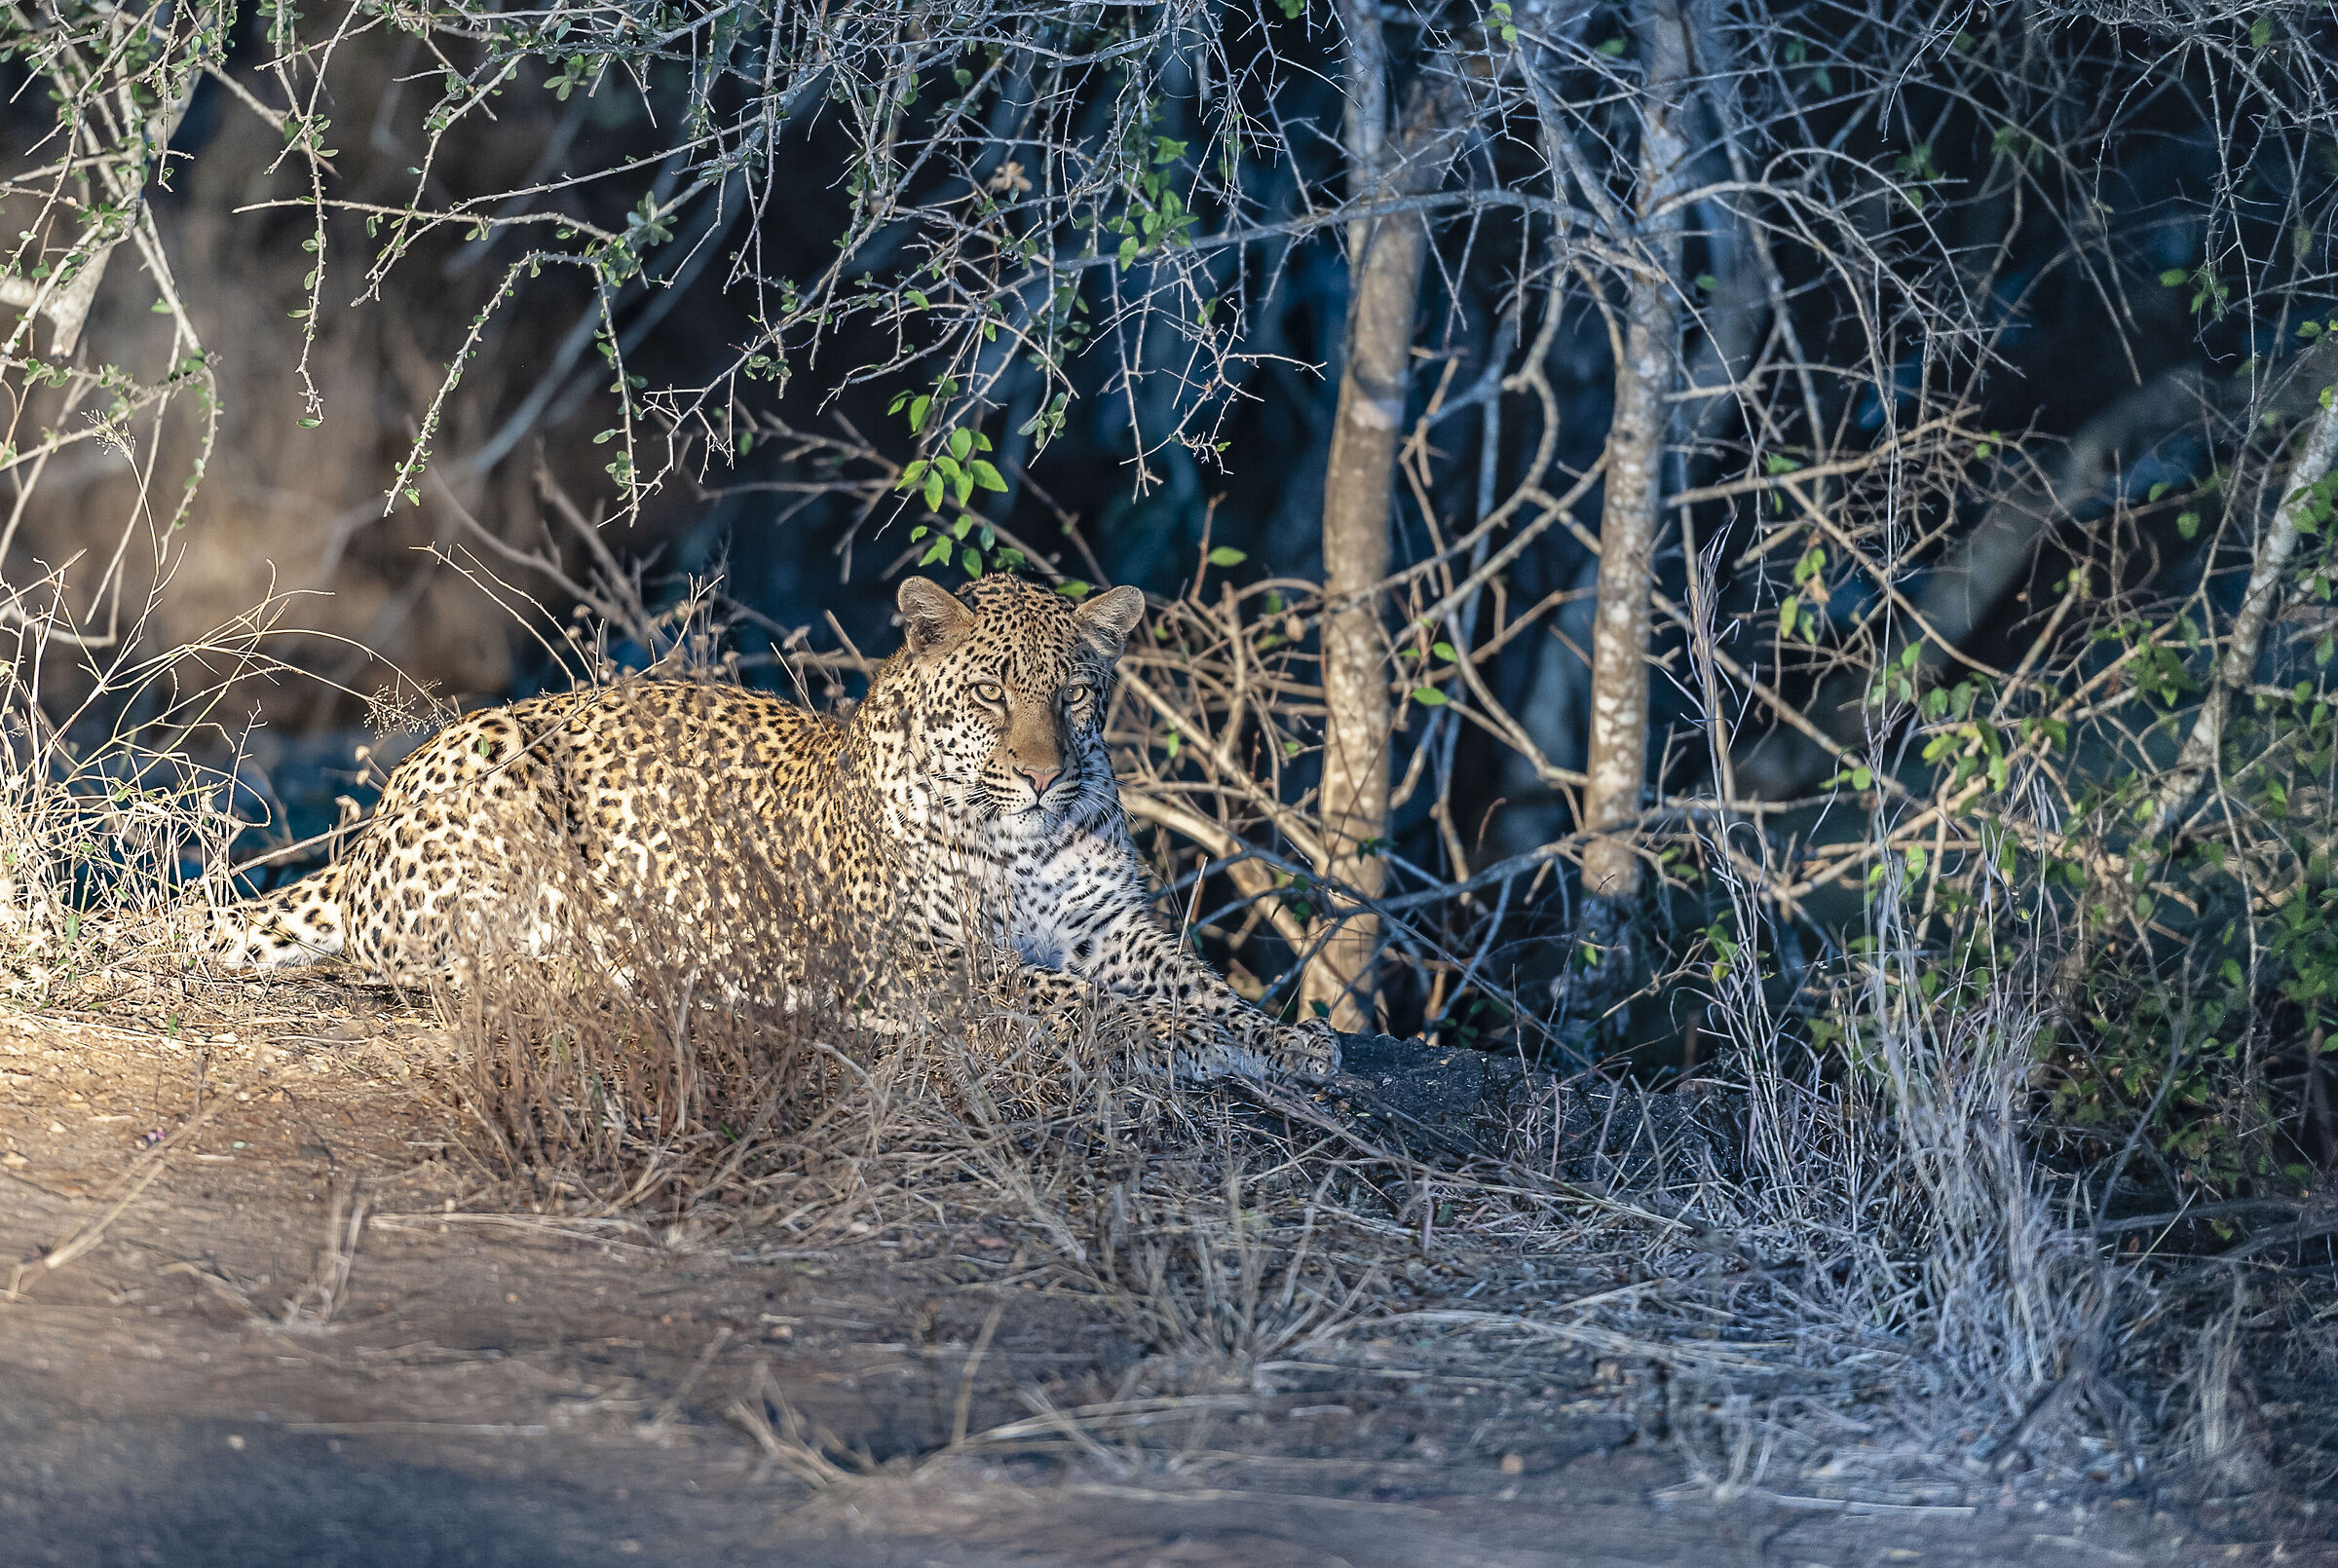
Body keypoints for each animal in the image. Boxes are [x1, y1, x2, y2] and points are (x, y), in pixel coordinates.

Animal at [196, 574, 1341, 1084]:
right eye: (991, 694)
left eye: (1073, 695)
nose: (1045, 771)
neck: (1024, 836)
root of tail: (369, 834)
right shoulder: (923, 959)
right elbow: (1068, 998)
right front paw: (1178, 1039)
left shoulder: (1114, 927)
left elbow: (1195, 980)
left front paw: (1286, 1037)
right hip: (502, 773)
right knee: (461, 961)